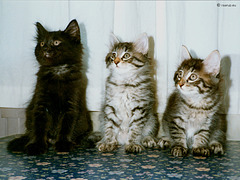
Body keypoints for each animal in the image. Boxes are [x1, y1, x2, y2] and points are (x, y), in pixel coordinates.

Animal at [7, 19, 94, 155]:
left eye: (56, 42)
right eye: (42, 43)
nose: (45, 48)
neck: (57, 71)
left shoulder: (71, 104)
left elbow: (66, 126)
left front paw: (63, 144)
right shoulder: (40, 103)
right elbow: (39, 127)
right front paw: (37, 145)